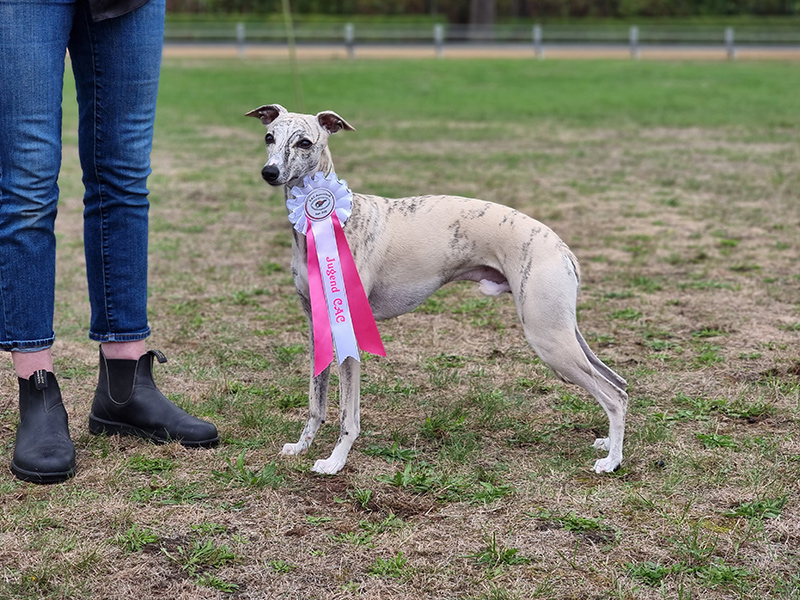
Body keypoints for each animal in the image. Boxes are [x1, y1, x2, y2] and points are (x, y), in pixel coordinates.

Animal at [247, 105, 628, 476]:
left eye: (305, 143)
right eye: (269, 137)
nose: (269, 172)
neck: (329, 221)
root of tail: (562, 247)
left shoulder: (349, 327)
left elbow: (348, 415)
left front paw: (335, 461)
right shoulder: (318, 327)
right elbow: (317, 401)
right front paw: (301, 446)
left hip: (547, 335)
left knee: (613, 395)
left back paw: (612, 462)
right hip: (562, 331)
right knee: (619, 384)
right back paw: (608, 445)